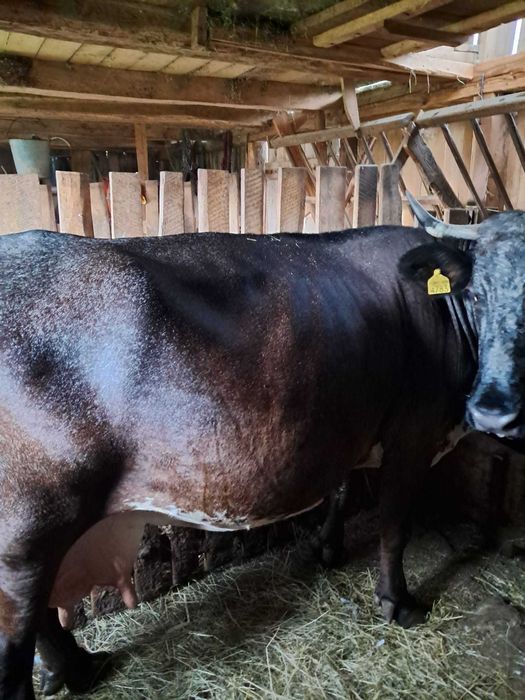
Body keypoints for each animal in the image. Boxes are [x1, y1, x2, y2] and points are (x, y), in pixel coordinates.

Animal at [0, 196, 511, 698]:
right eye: (476, 294)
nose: (496, 411)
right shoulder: (414, 432)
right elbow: (394, 527)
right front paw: (399, 604)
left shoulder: (351, 423)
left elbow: (342, 489)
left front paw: (328, 549)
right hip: (28, 530)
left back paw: (78, 668)